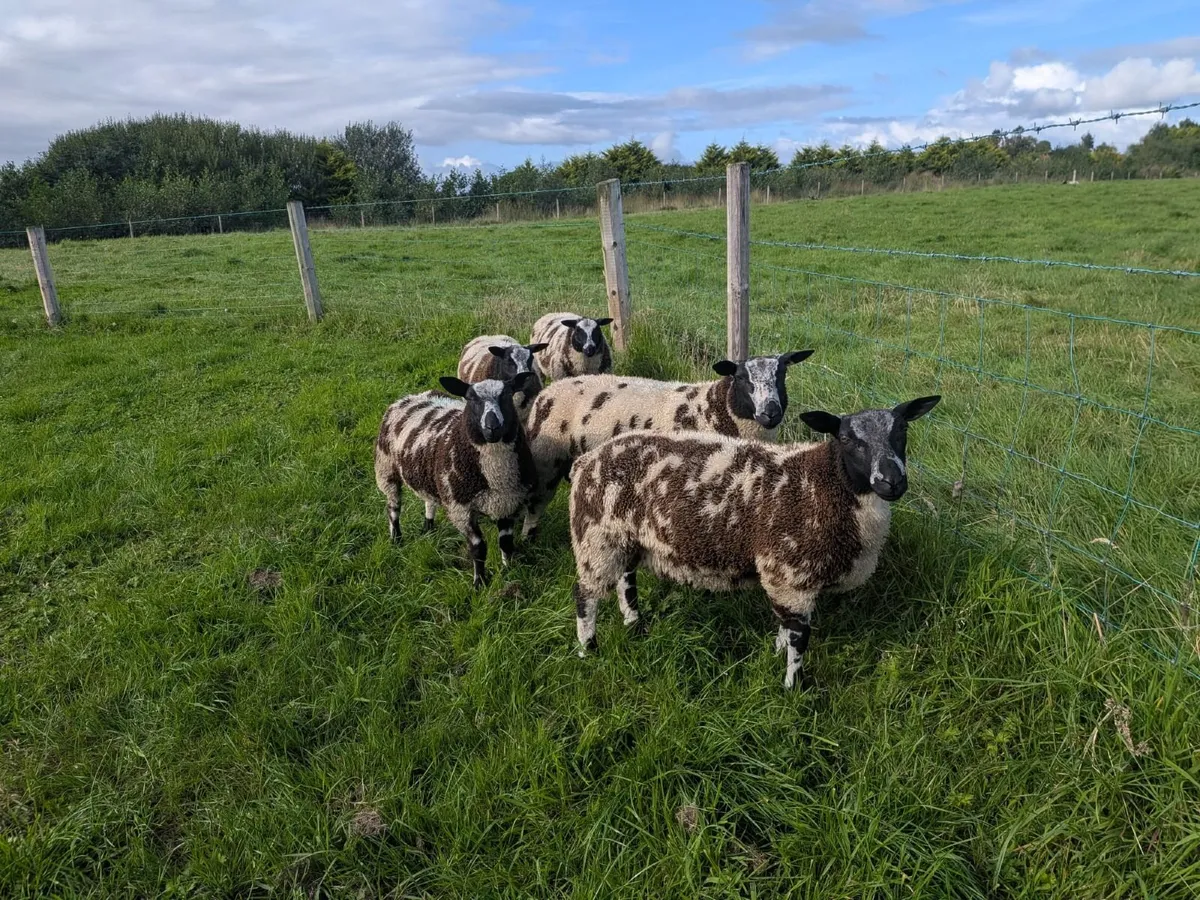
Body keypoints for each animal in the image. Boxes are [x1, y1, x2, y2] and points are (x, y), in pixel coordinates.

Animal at [374, 372, 536, 588]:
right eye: (471, 398)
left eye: (508, 395)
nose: (492, 427)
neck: (496, 474)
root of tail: (409, 397)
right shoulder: (461, 509)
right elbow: (478, 548)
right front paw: (479, 582)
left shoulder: (508, 503)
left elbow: (506, 543)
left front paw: (508, 569)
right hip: (386, 470)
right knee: (393, 508)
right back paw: (396, 539)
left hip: (432, 478)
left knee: (429, 500)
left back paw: (428, 526)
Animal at [519, 351, 813, 542]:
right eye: (741, 378)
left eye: (782, 373)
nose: (770, 413)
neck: (712, 409)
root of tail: (548, 391)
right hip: (545, 460)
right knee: (535, 505)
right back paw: (527, 542)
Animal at [567, 395, 941, 688]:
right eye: (847, 438)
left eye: (902, 431)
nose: (892, 482)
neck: (823, 483)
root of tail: (588, 459)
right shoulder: (790, 574)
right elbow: (799, 636)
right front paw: (794, 688)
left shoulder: (787, 579)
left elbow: (786, 628)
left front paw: (776, 653)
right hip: (595, 536)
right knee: (586, 595)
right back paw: (588, 649)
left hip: (624, 537)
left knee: (624, 580)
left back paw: (634, 625)